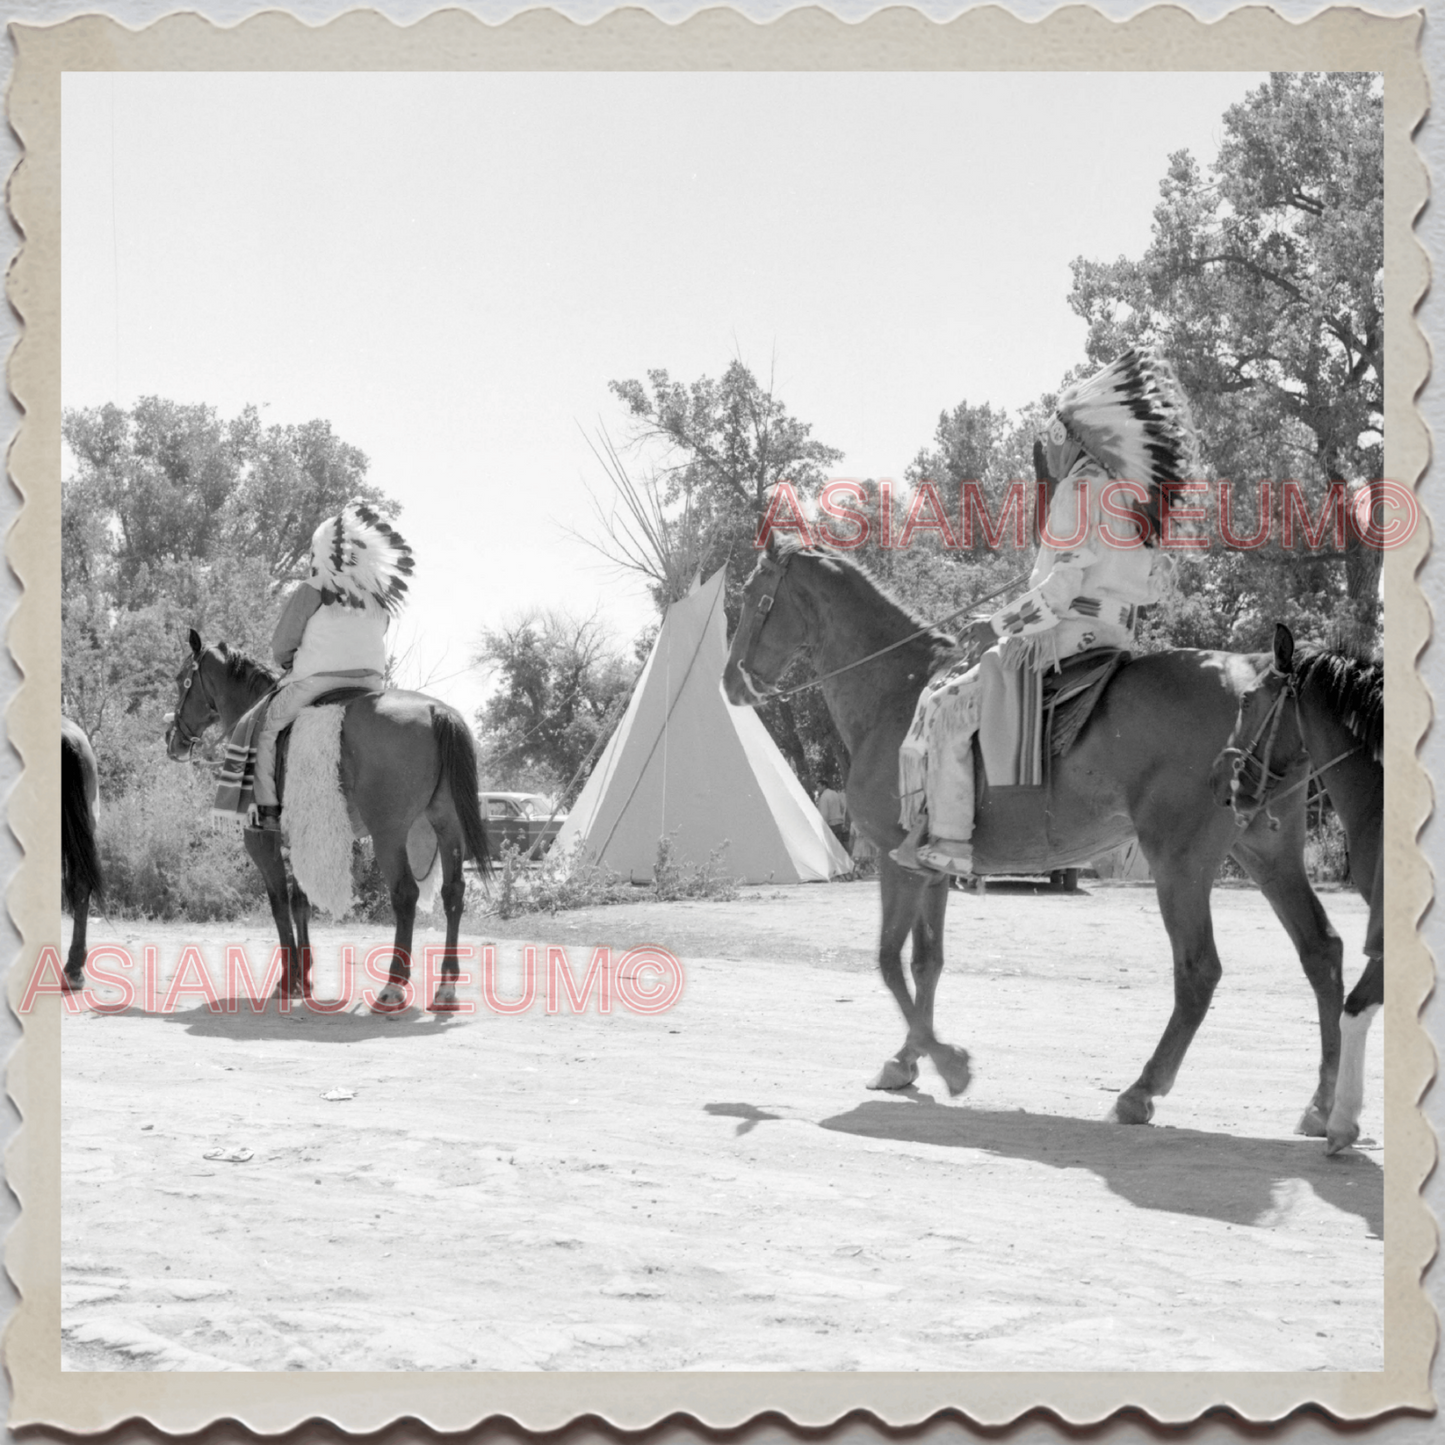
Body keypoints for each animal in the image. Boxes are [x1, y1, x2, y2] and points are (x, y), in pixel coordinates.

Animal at [166, 632, 488, 1017]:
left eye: (181, 678)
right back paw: (446, 988)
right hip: (446, 825)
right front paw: (303, 979)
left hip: (389, 833)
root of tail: (435, 711)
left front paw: (288, 981)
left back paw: (392, 987)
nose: (172, 738)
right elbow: (300, 903)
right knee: (453, 892)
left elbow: (279, 903)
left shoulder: (262, 841)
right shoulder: (303, 838)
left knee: (405, 894)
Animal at [728, 537, 1346, 1132]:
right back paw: (1323, 1104)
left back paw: (1140, 1092)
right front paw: (908, 1059)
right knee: (1321, 950)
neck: (892, 694)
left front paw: (949, 1064)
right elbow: (926, 961)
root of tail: (1257, 671)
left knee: (1199, 970)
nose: (730, 680)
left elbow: (886, 959)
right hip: (1266, 850)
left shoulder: (894, 859)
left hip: (1180, 861)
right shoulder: (931, 868)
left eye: (754, 597)